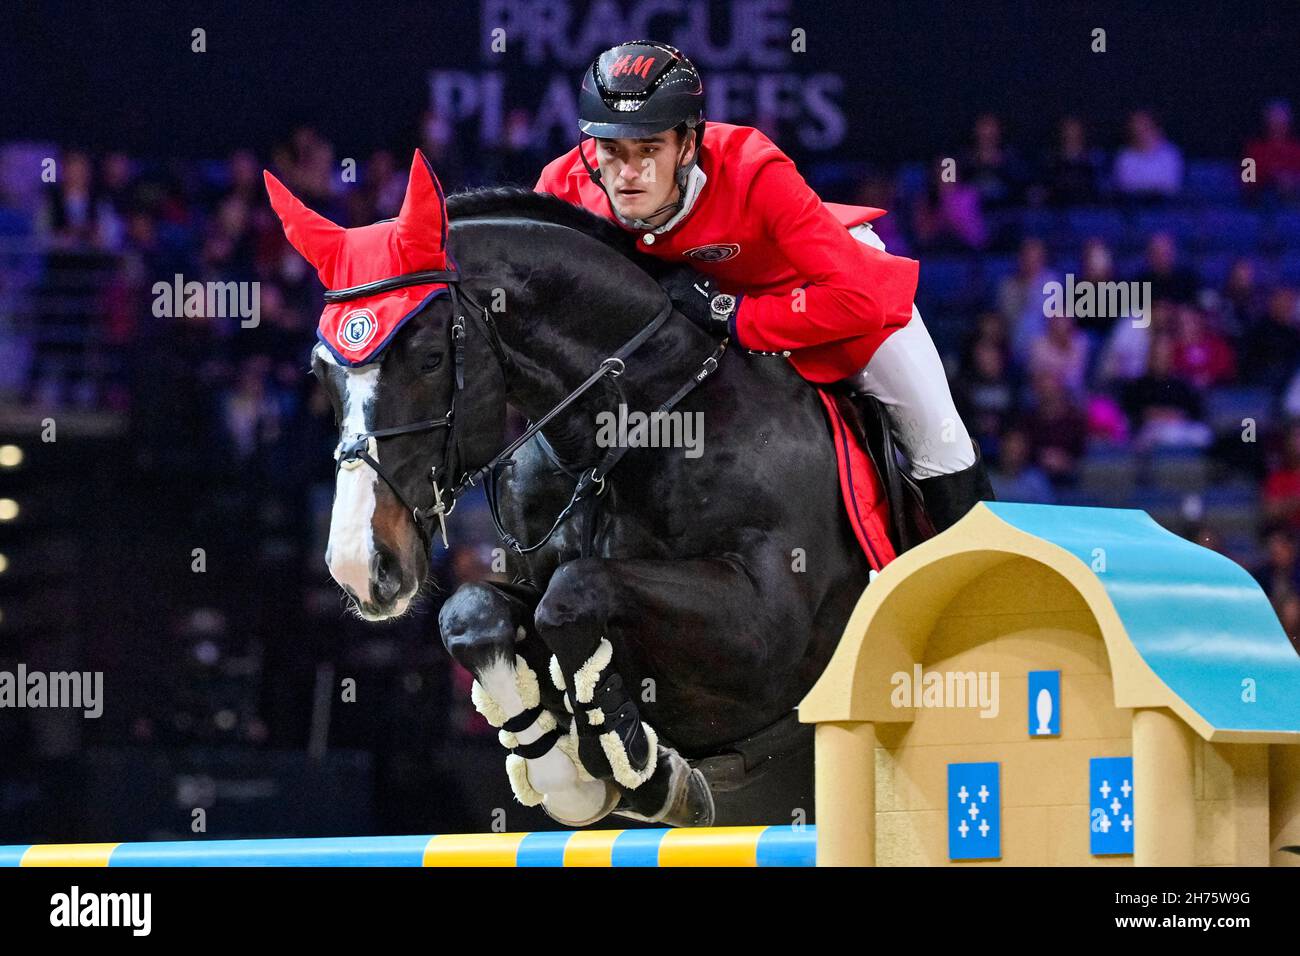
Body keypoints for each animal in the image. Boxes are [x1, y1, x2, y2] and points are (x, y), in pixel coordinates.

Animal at [276, 153, 883, 827]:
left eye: (432, 357)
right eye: (319, 371)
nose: (361, 567)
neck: (629, 432)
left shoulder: (768, 632)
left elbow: (573, 593)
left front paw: (633, 758)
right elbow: (472, 612)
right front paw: (567, 767)